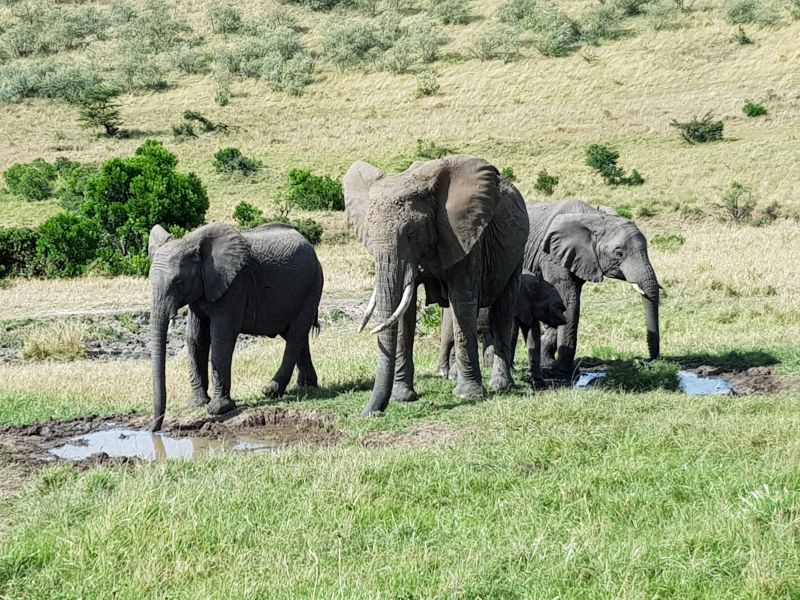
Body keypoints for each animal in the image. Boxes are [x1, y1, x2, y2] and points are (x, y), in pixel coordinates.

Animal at [346, 156, 528, 418]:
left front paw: (467, 395)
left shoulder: (465, 238)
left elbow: (462, 300)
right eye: (368, 235)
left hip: (516, 253)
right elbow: (405, 311)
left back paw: (500, 387)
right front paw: (403, 397)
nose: (367, 414)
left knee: (503, 311)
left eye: (411, 233)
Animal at [438, 270, 568, 382]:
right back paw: (444, 374)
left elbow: (533, 335)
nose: (563, 310)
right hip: (451, 310)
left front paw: (537, 377)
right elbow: (511, 333)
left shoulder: (528, 308)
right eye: (548, 302)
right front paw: (512, 371)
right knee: (448, 337)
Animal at [524, 202, 664, 380]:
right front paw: (562, 372)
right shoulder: (550, 255)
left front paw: (548, 364)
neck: (594, 218)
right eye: (618, 253)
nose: (650, 361)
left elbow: (568, 303)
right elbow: (568, 300)